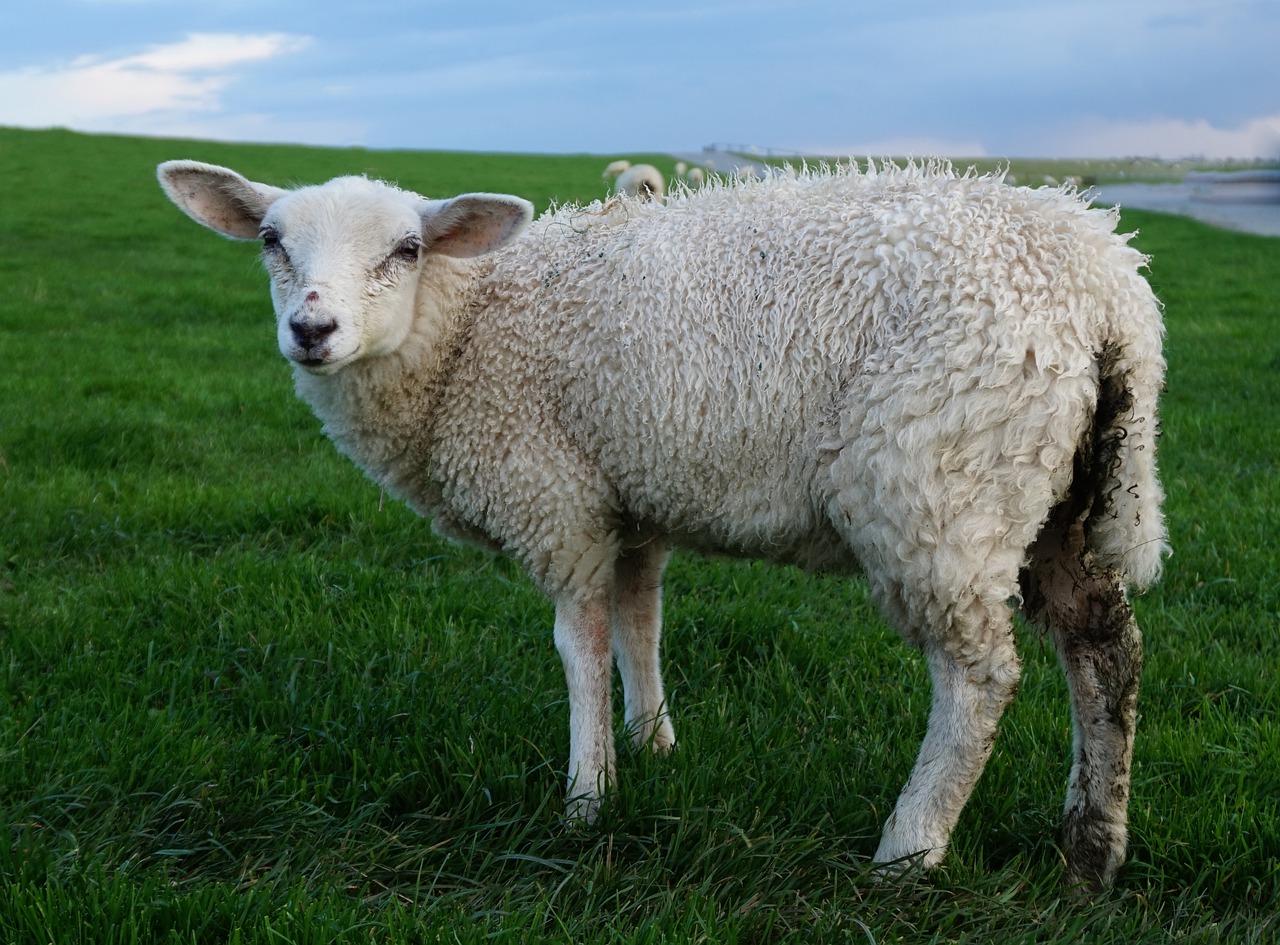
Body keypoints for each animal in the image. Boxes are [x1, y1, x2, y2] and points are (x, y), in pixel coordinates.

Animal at [154, 158, 1167, 886]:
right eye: (272, 241)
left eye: (406, 249)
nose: (312, 330)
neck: (467, 326)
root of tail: (1110, 288)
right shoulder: (632, 497)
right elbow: (641, 620)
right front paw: (653, 743)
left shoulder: (554, 495)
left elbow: (581, 642)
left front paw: (587, 796)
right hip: (1064, 490)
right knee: (1103, 646)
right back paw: (1092, 847)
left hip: (938, 485)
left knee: (979, 677)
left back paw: (909, 849)